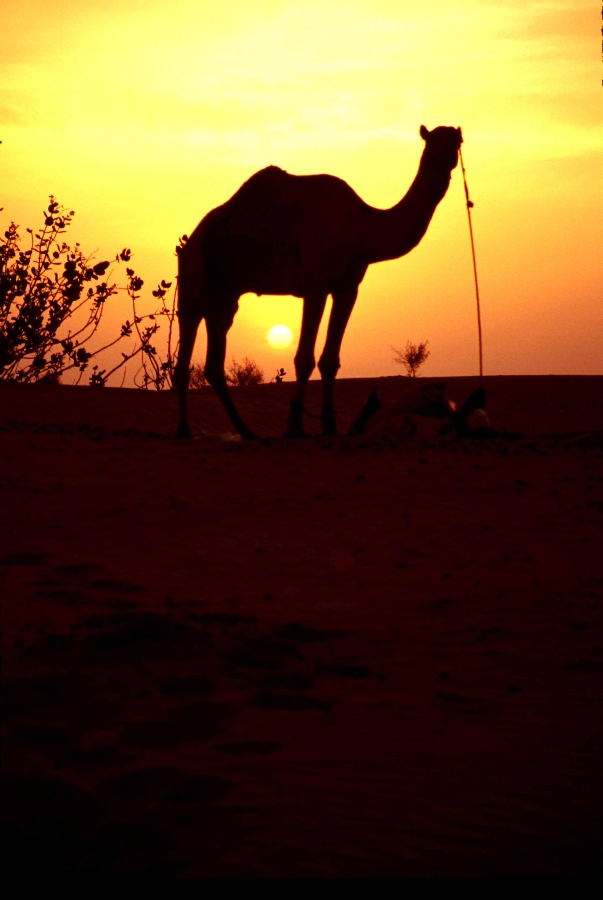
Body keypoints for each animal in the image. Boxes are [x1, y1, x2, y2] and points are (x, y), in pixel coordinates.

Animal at [175, 124, 463, 439]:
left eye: (457, 141)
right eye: (432, 141)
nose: (446, 156)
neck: (364, 228)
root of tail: (191, 239)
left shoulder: (348, 288)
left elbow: (330, 361)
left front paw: (329, 425)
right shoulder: (315, 284)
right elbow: (304, 359)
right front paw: (294, 426)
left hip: (226, 293)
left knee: (214, 360)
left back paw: (247, 431)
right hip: (193, 277)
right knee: (186, 342)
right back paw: (184, 429)